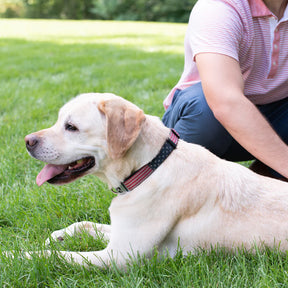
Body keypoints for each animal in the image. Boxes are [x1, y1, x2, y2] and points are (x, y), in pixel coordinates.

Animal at [24, 93, 288, 268]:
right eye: (59, 121)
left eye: (71, 127)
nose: (27, 141)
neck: (149, 166)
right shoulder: (119, 234)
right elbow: (85, 225)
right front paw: (57, 236)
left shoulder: (118, 256)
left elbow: (54, 255)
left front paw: (18, 255)